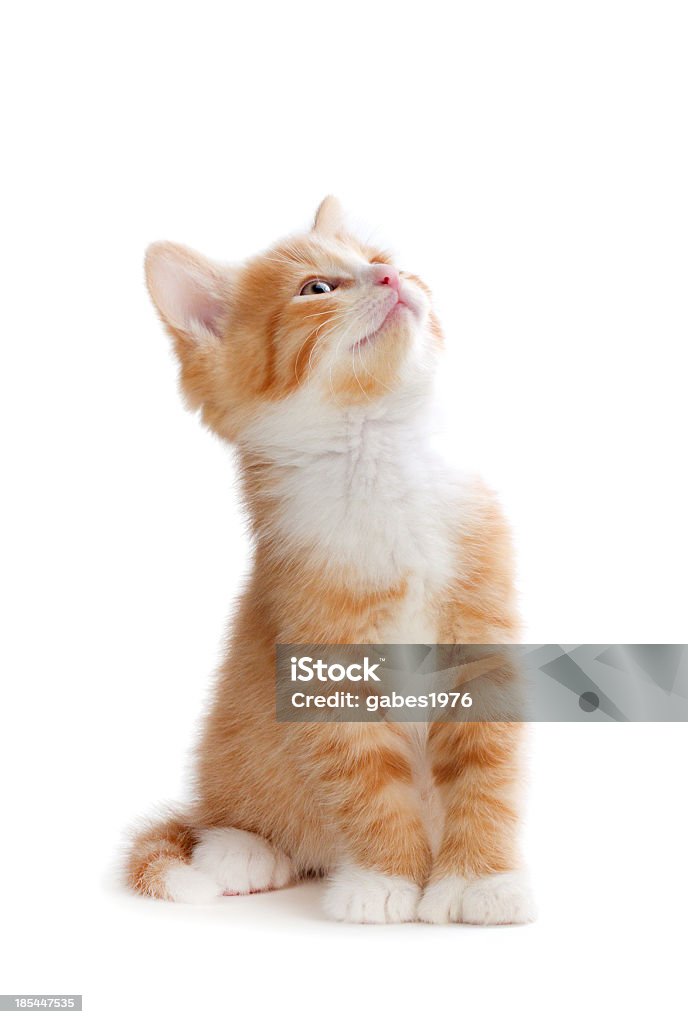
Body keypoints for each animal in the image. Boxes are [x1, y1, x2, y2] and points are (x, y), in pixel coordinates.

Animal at [126, 199, 536, 929]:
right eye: (316, 287)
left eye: (383, 258)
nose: (391, 276)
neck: (379, 461)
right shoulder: (324, 663)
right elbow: (366, 782)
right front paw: (386, 879)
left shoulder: (482, 635)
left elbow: (488, 768)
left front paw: (480, 881)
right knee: (228, 816)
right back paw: (241, 850)